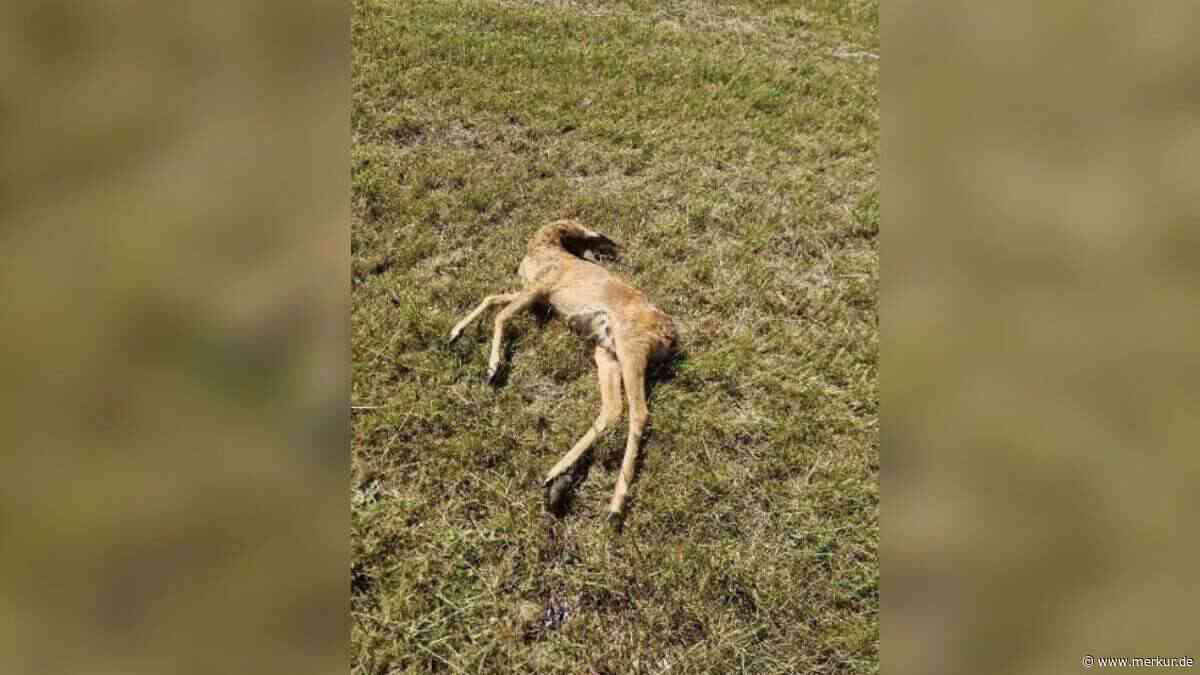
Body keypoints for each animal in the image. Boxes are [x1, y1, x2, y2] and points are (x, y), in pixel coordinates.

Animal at [448, 219, 677, 527]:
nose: (610, 247)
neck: (547, 246)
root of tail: (669, 333)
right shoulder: (534, 293)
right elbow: (492, 298)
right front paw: (454, 334)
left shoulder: (538, 289)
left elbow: (501, 314)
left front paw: (493, 369)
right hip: (607, 353)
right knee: (613, 409)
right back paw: (555, 477)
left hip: (630, 350)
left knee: (639, 413)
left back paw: (613, 508)